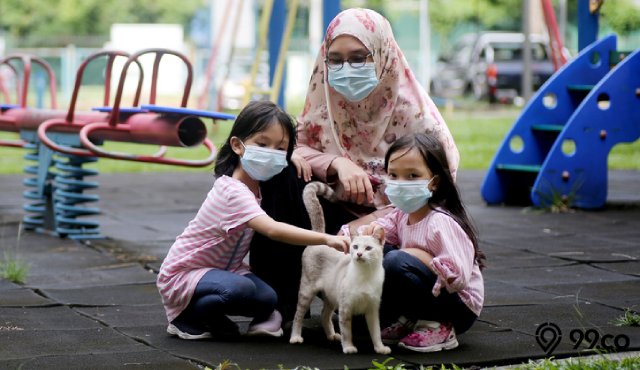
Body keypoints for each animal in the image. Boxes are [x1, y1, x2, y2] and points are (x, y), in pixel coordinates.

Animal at [290, 182, 390, 356]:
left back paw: (331, 336)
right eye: (355, 246)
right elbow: (347, 332)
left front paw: (380, 348)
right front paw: (349, 347)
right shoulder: (345, 308)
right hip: (307, 292)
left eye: (368, 248)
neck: (365, 274)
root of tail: (319, 234)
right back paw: (295, 337)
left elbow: (376, 332)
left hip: (330, 297)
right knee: (298, 316)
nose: (358, 254)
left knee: (324, 315)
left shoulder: (372, 309)